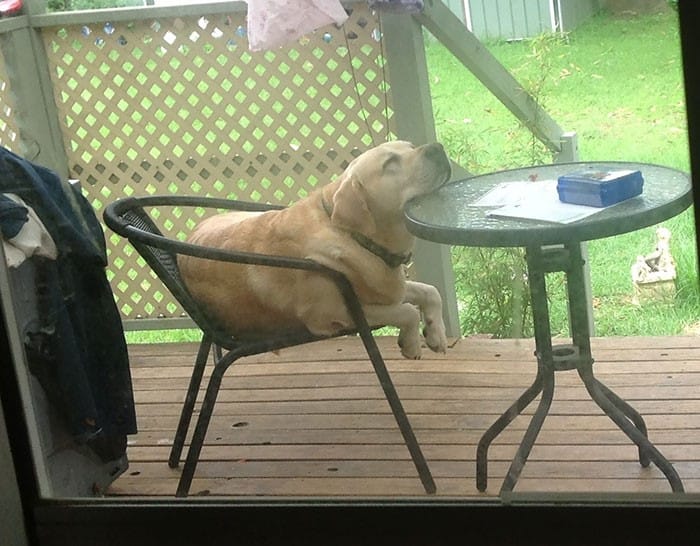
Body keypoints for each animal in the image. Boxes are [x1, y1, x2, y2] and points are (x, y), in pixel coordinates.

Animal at [178, 140, 452, 356]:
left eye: (410, 146)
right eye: (390, 163)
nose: (438, 148)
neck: (352, 236)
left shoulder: (385, 289)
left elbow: (431, 291)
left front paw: (436, 333)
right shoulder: (332, 313)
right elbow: (407, 311)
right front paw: (412, 343)